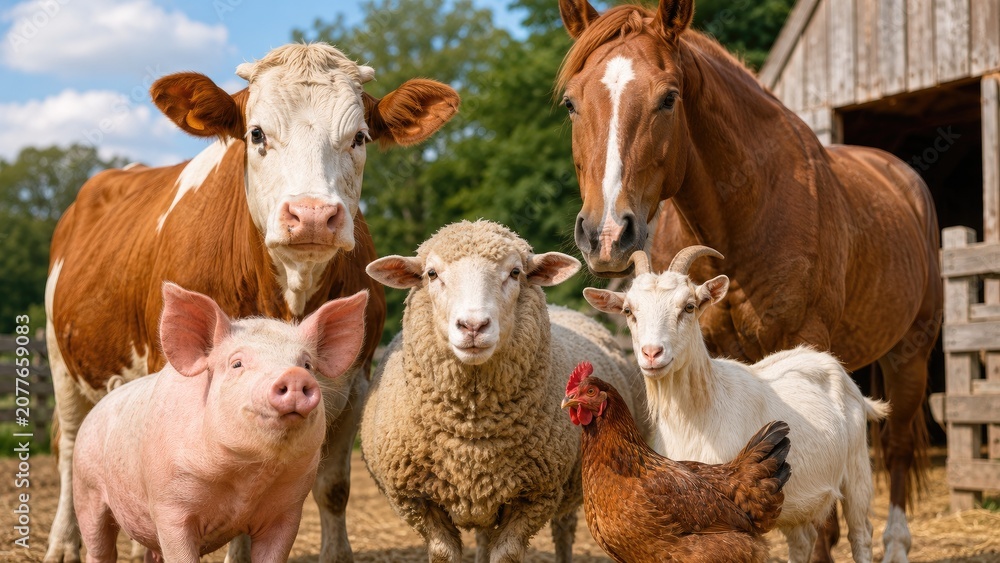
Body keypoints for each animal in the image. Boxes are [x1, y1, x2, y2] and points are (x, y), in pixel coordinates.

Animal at [43, 43, 459, 563]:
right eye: (256, 133)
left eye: (359, 137)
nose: (312, 215)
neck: (289, 296)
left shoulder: (355, 383)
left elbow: (333, 487)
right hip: (64, 365)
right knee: (70, 450)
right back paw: (63, 543)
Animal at [362, 220, 646, 563]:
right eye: (431, 273)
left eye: (515, 272)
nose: (473, 326)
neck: (472, 436)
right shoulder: (417, 500)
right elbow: (444, 554)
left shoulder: (535, 496)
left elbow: (507, 555)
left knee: (564, 530)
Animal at [583, 246, 889, 563]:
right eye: (628, 311)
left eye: (689, 306)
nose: (652, 353)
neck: (698, 414)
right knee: (803, 541)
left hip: (857, 470)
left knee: (861, 535)